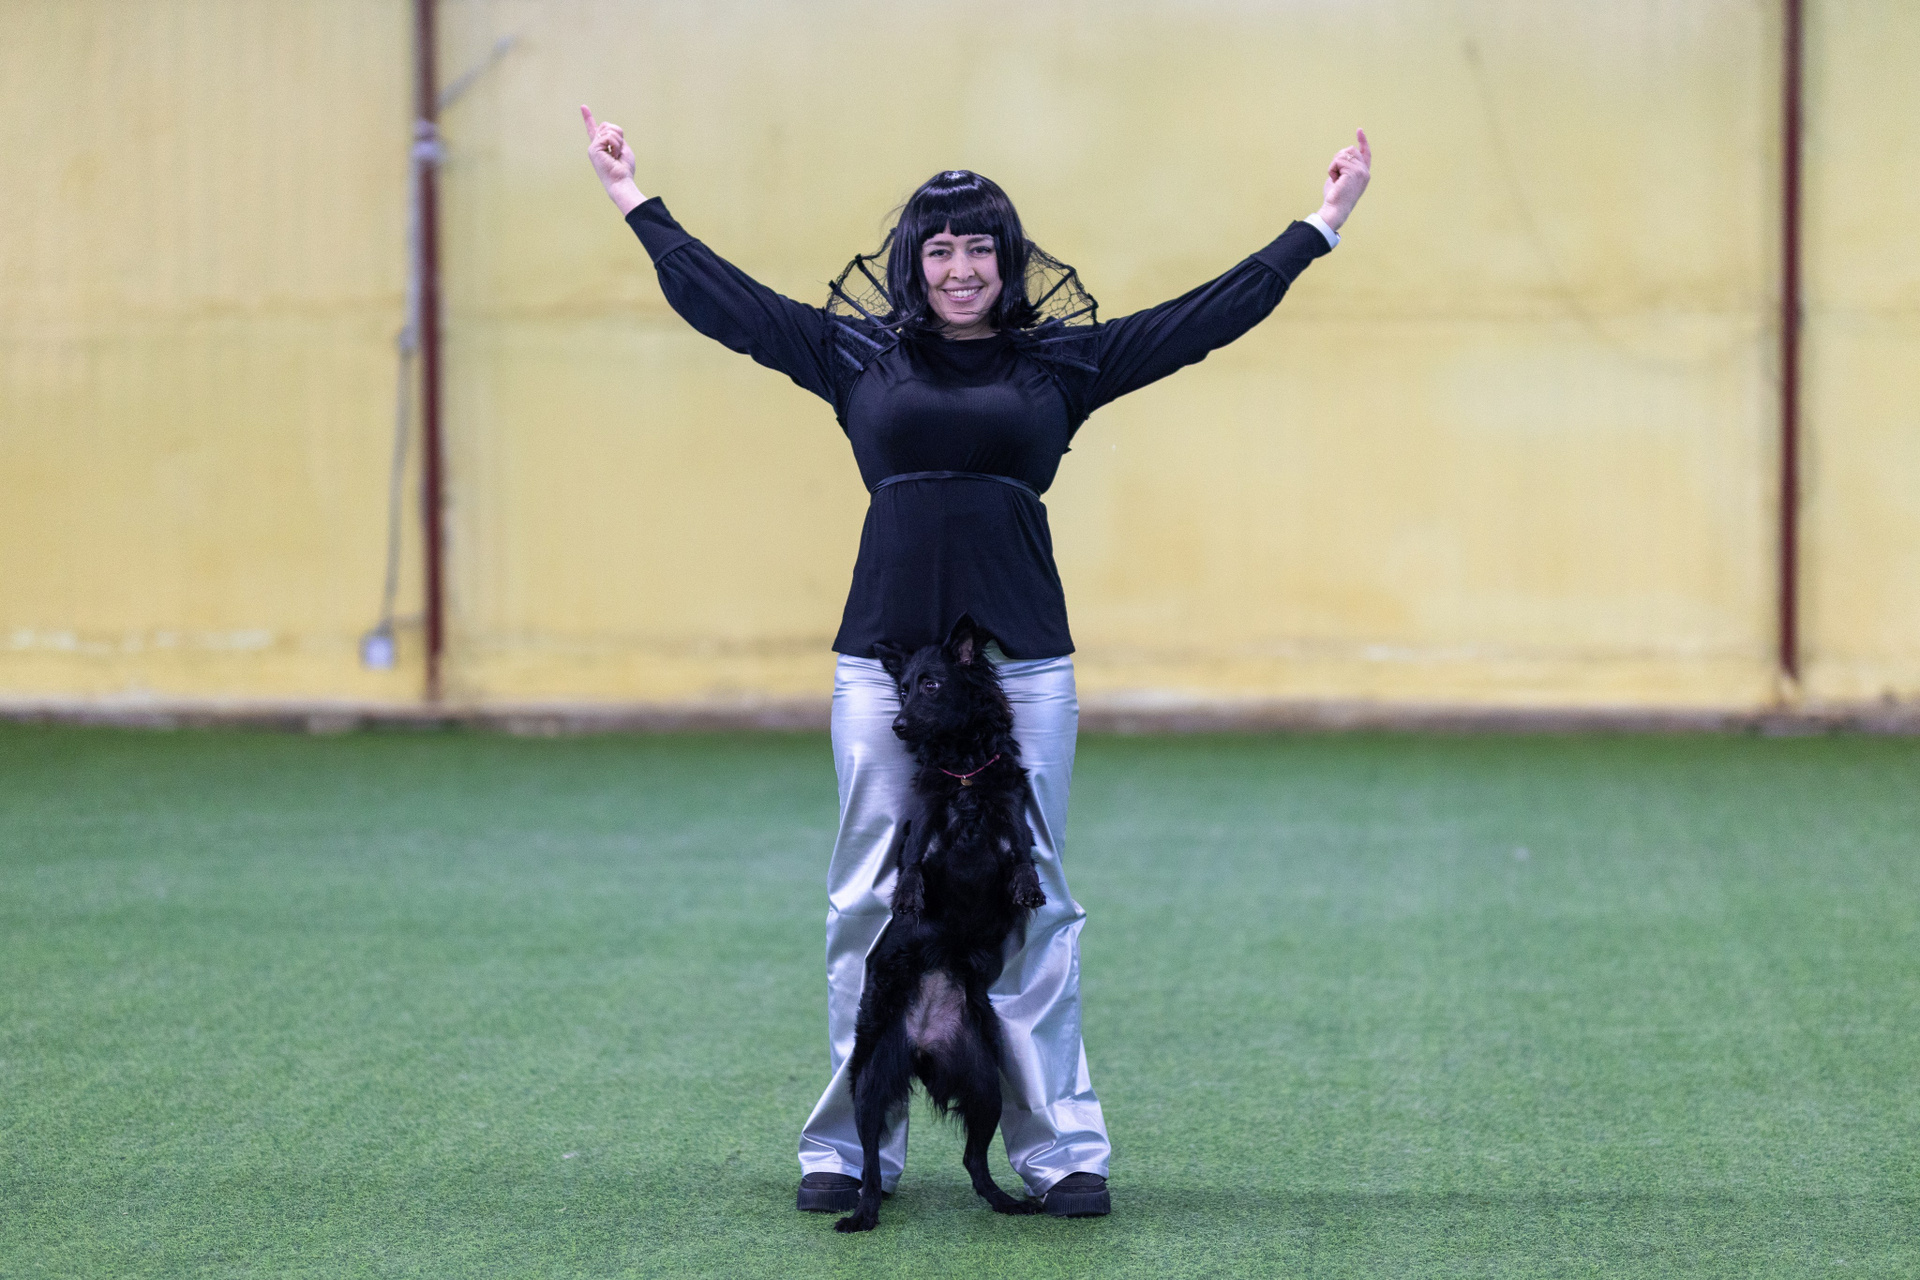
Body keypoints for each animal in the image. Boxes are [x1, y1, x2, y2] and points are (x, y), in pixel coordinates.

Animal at [831, 617, 1049, 1233]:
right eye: (901, 688)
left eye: (930, 685)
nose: (899, 725)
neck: (964, 770)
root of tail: (924, 1045)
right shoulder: (925, 814)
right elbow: (912, 857)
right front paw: (908, 896)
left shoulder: (1009, 805)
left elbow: (1020, 847)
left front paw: (1028, 885)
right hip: (869, 1084)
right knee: (871, 1166)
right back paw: (862, 1214)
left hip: (985, 1085)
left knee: (974, 1160)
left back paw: (1007, 1202)